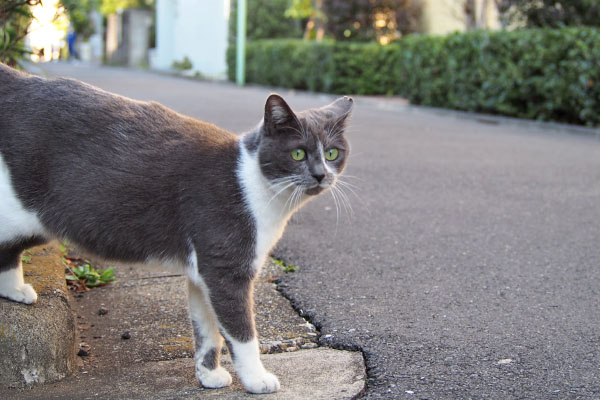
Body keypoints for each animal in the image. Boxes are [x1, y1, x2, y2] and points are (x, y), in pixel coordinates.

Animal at [0, 64, 352, 392]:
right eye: (298, 153)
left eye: (333, 153)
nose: (321, 175)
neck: (258, 187)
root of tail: (19, 81)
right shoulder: (225, 269)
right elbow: (241, 334)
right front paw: (257, 380)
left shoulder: (203, 272)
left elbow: (207, 330)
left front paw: (209, 375)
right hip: (27, 209)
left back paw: (14, 290)